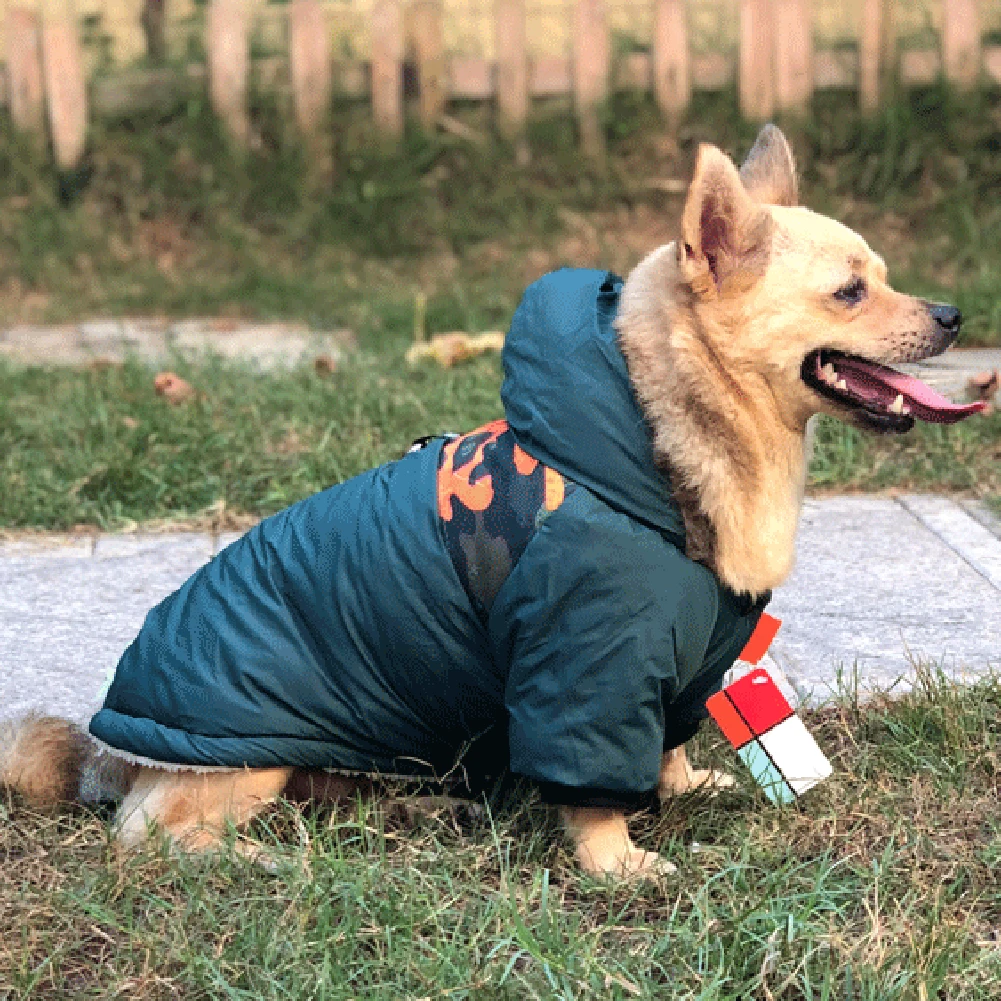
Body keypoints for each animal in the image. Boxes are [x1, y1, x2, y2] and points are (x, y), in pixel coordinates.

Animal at [0, 123, 980, 876]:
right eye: (848, 291)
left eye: (883, 275)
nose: (954, 314)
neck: (658, 452)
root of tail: (108, 753)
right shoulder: (587, 661)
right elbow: (592, 785)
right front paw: (616, 861)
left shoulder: (673, 662)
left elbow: (664, 741)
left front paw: (681, 788)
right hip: (244, 765)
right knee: (152, 835)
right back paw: (266, 855)